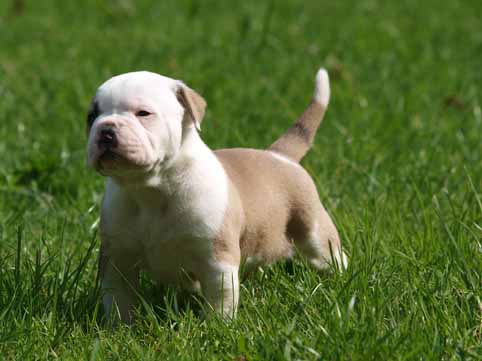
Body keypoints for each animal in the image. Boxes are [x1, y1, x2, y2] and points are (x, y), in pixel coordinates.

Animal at [86, 67, 346, 320]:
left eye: (143, 113)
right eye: (92, 116)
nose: (105, 130)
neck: (150, 189)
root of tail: (279, 155)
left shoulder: (216, 259)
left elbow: (221, 299)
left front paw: (218, 325)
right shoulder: (118, 257)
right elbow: (119, 297)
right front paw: (120, 326)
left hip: (312, 228)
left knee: (328, 253)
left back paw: (340, 278)